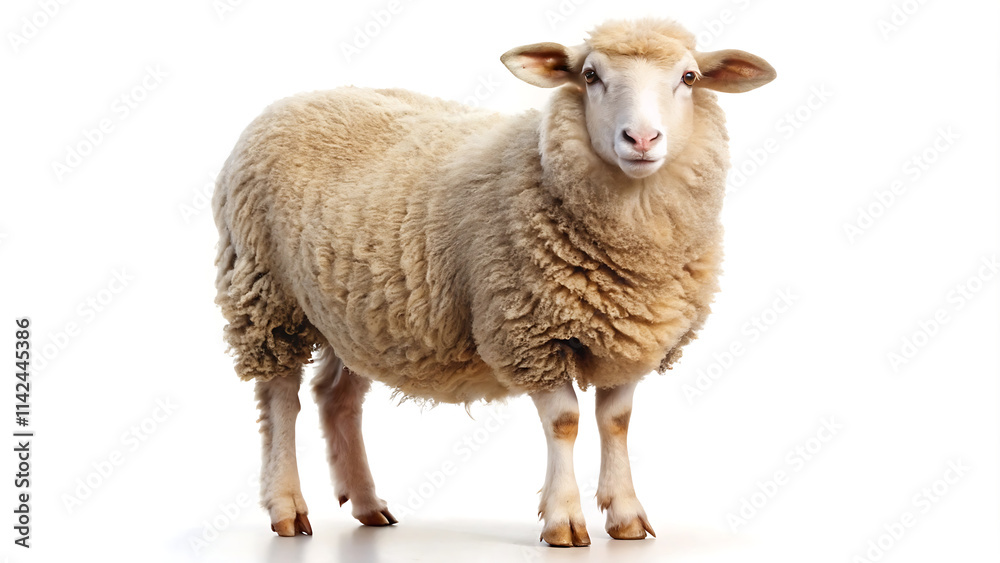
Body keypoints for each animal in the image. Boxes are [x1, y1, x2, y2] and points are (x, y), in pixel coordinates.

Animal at [213, 17, 775, 547]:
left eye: (689, 77)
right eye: (591, 76)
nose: (641, 140)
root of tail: (296, 97)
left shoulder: (631, 335)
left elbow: (616, 422)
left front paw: (626, 516)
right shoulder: (528, 332)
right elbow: (565, 422)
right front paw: (564, 521)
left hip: (355, 313)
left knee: (336, 397)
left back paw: (369, 505)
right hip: (265, 294)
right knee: (281, 400)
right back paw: (287, 508)